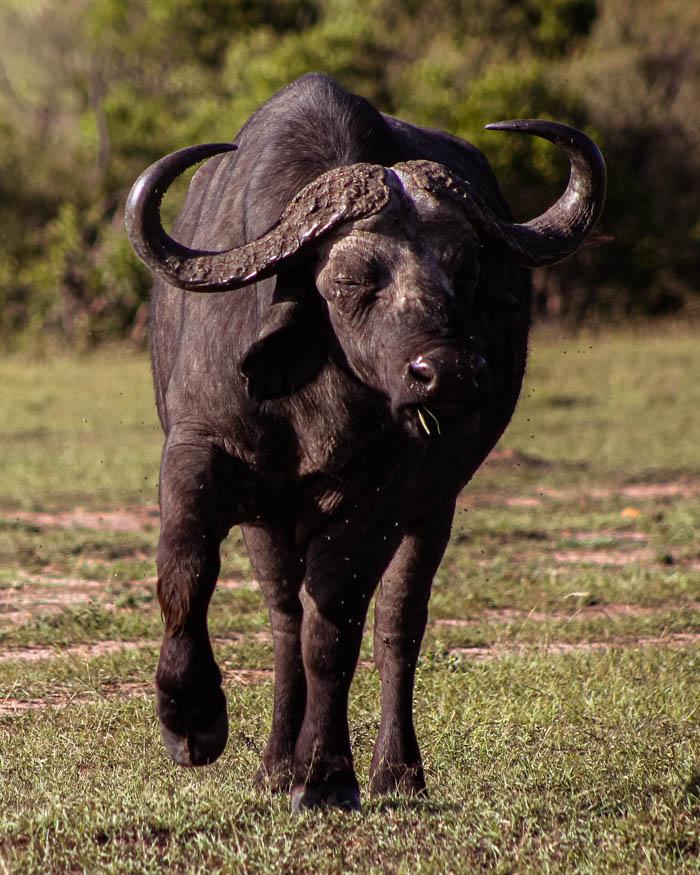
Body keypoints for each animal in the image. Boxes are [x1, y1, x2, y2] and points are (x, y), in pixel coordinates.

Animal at [127, 72, 608, 812]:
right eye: (353, 279)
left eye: (465, 269)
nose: (450, 372)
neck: (312, 397)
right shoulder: (197, 451)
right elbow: (185, 571)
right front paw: (192, 720)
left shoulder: (384, 495)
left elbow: (337, 629)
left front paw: (328, 776)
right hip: (271, 523)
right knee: (282, 619)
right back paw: (276, 765)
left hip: (435, 509)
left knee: (396, 627)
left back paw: (394, 770)